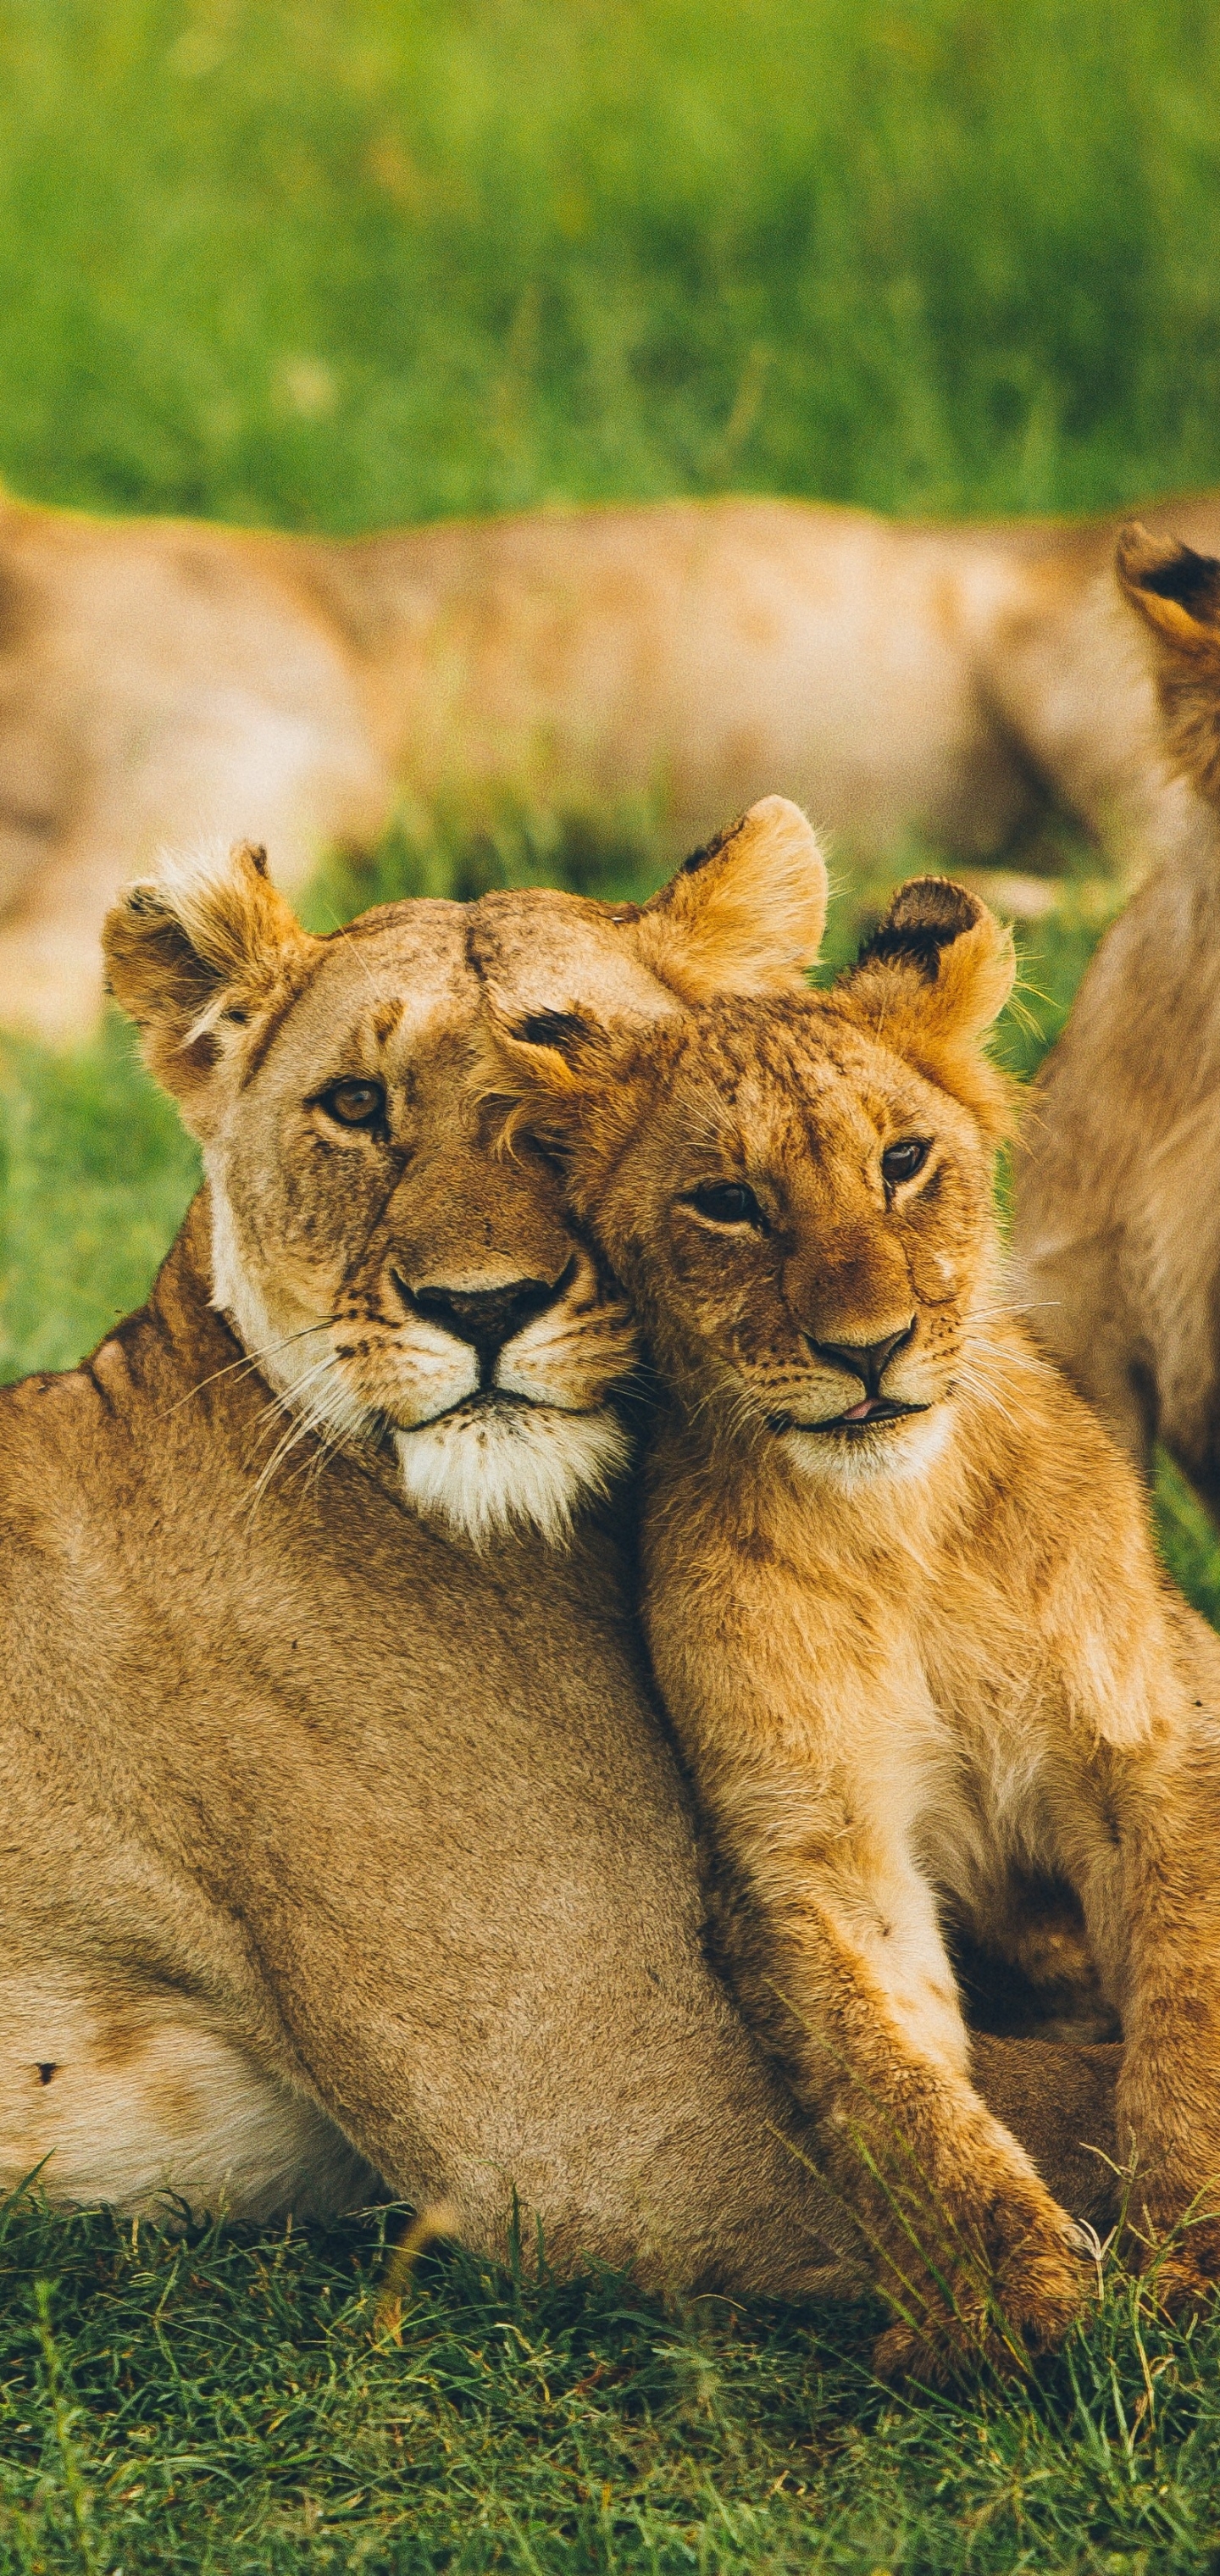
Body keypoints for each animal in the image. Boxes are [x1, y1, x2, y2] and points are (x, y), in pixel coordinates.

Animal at [484, 813, 1220, 2379]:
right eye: (727, 1202)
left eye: (903, 1162)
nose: (868, 1349)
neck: (902, 1530)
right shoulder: (808, 1844)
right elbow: (889, 2082)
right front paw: (1002, 2302)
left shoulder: (1158, 1742)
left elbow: (1193, 1996)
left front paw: (1189, 2247)